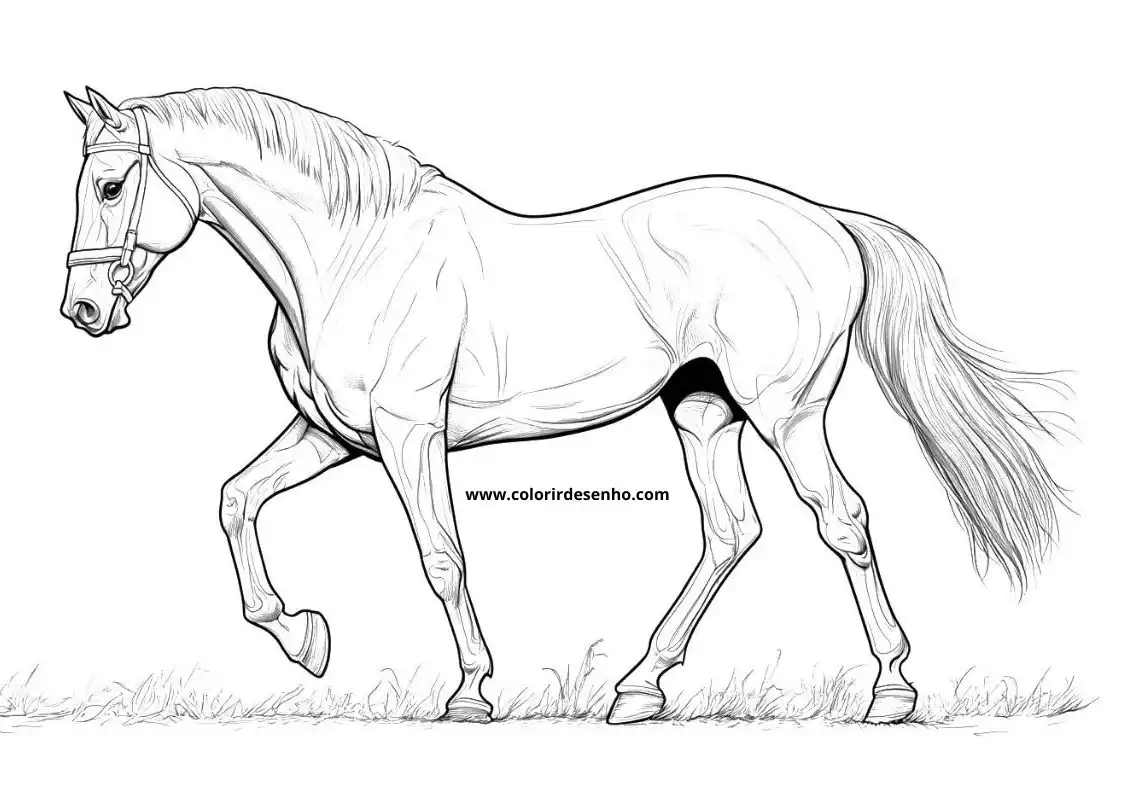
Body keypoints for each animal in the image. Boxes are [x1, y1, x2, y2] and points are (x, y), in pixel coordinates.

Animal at [60, 86, 1064, 724]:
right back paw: (638, 690)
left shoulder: (409, 432)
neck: (353, 253)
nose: (82, 312)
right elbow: (234, 499)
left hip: (785, 412)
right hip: (702, 411)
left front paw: (470, 695)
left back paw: (889, 692)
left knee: (842, 519)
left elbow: (441, 558)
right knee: (731, 531)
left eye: (111, 184)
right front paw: (304, 638)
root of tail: (826, 220)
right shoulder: (331, 434)